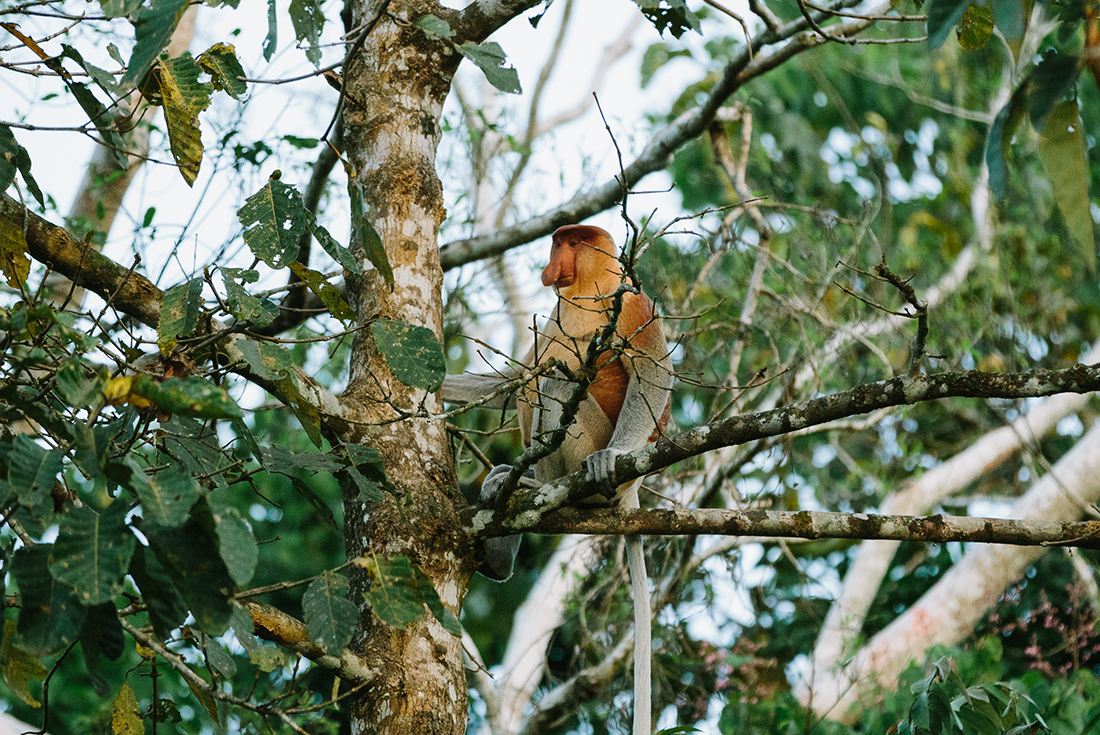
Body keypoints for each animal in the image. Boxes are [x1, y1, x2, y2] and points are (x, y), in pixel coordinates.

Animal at [443, 224, 673, 735]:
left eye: (571, 242)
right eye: (557, 241)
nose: (551, 267)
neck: (588, 288)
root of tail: (630, 496)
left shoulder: (633, 304)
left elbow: (653, 374)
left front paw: (612, 456)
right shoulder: (555, 314)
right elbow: (517, 374)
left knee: (558, 382)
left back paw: (540, 486)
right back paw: (504, 510)